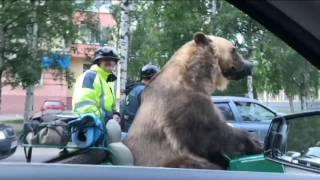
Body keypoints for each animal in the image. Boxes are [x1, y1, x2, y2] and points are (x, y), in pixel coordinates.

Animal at [124, 32, 262, 169]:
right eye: (234, 49)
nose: (250, 65)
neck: (195, 78)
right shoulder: (183, 103)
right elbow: (209, 132)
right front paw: (255, 142)